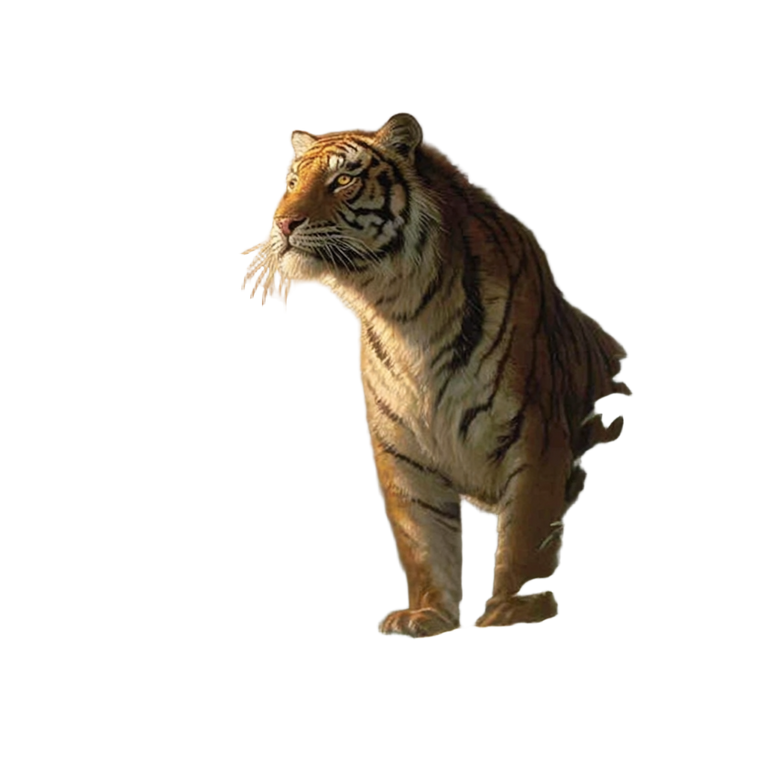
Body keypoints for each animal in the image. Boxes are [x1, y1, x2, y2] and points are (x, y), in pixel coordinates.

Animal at [238, 109, 635, 641]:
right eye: (292, 183)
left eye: (342, 180)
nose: (282, 222)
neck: (406, 315)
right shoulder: (401, 450)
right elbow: (422, 539)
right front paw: (429, 616)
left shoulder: (536, 433)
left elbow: (524, 529)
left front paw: (508, 612)